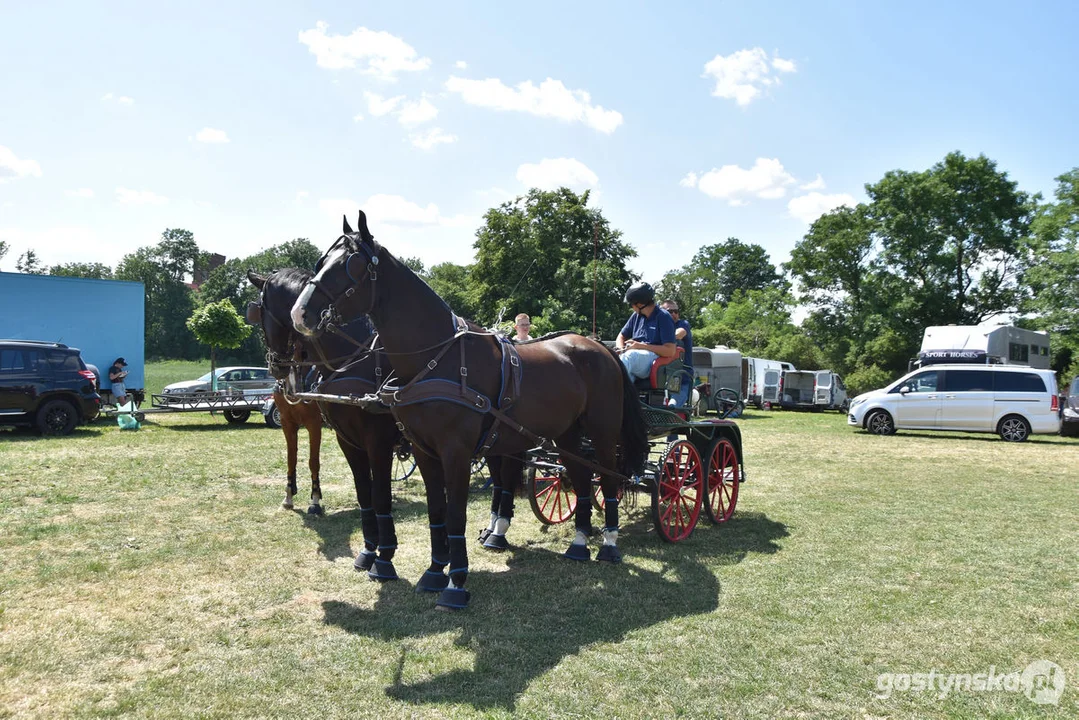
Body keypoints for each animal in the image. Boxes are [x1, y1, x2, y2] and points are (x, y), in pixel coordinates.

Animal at [248, 267, 405, 582]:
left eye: (260, 309)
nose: (276, 366)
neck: (353, 361)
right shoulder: (293, 424)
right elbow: (292, 458)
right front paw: (289, 496)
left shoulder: (330, 429)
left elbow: (314, 462)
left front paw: (315, 501)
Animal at [289, 212, 647, 608]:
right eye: (321, 263)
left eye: (349, 266)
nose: (299, 313)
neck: (434, 357)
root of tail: (601, 348)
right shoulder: (421, 450)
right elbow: (436, 511)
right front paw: (433, 572)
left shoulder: (450, 450)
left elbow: (453, 513)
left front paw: (454, 582)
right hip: (566, 435)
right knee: (581, 478)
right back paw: (580, 542)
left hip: (601, 431)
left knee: (608, 478)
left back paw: (609, 544)